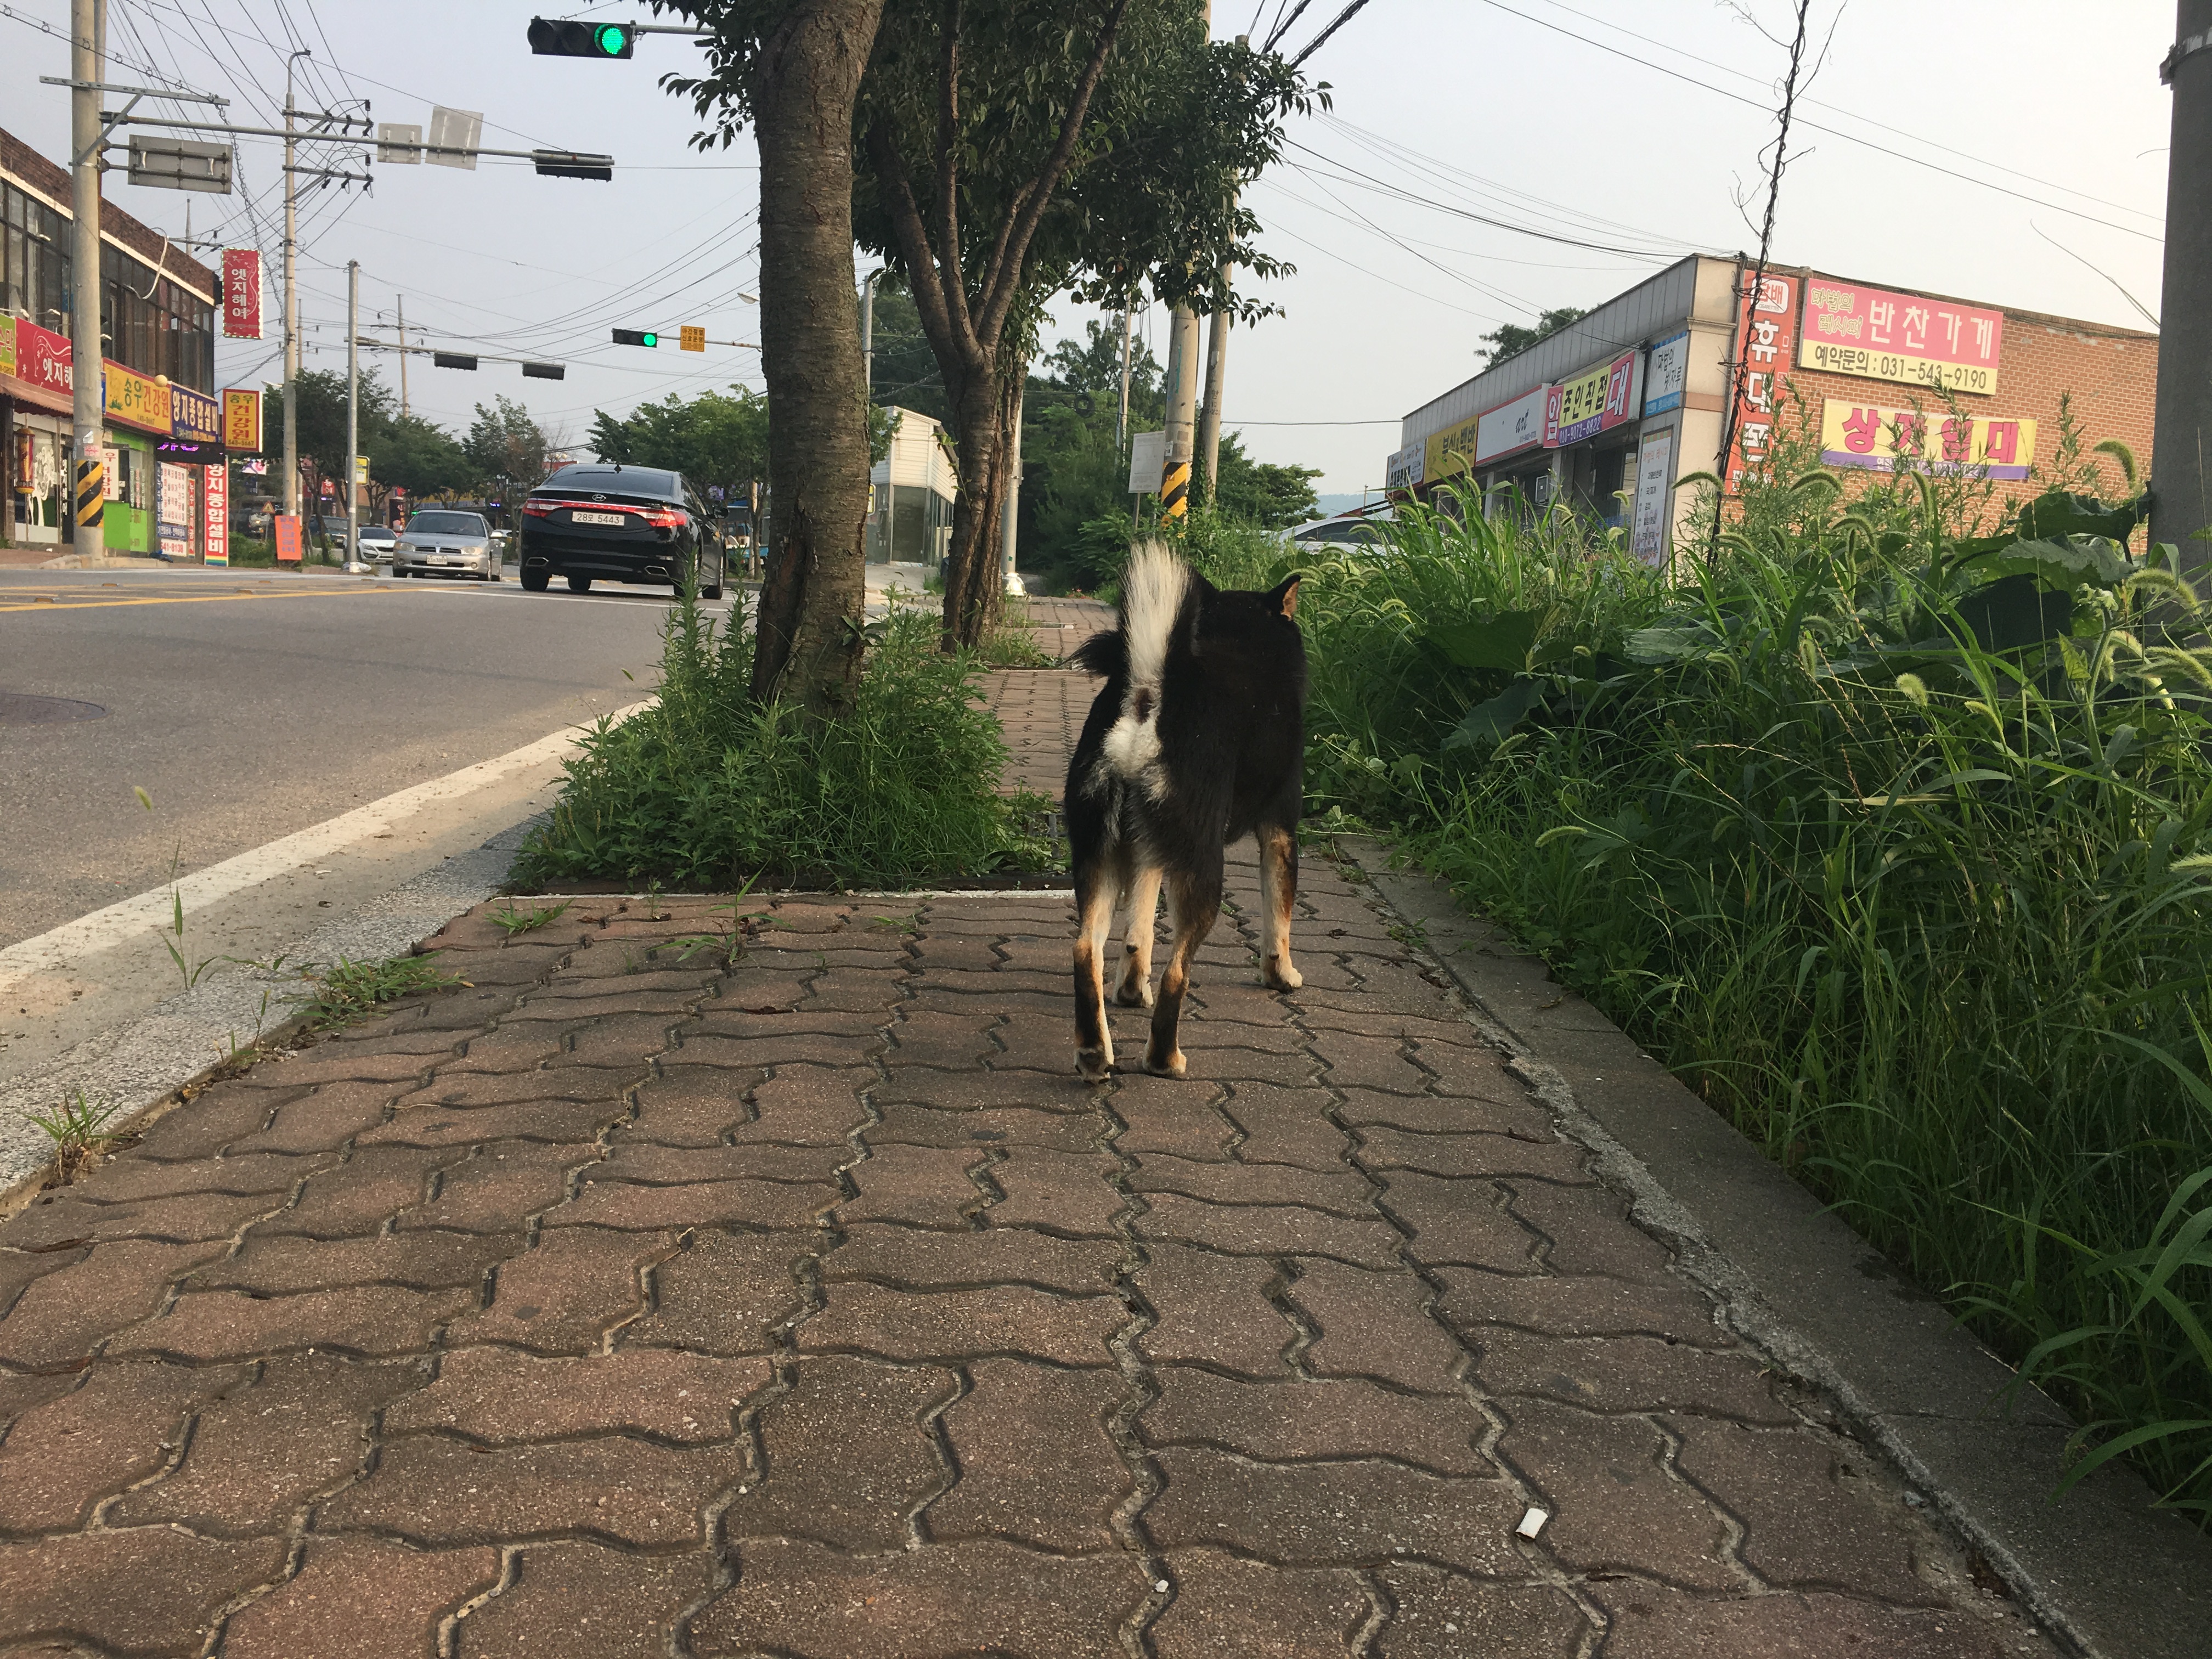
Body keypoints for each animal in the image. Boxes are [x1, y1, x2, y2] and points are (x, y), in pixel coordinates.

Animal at [1063, 542, 1307, 1081]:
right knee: (1178, 973)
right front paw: (1281, 974)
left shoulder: (1149, 848)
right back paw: (1164, 1058)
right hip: (1203, 866)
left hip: (1101, 856)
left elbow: (1137, 934)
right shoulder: (1280, 828)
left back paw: (1094, 1052)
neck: (1244, 635)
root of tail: (1152, 689)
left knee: (1086, 951)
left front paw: (1131, 988)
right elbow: (1279, 918)